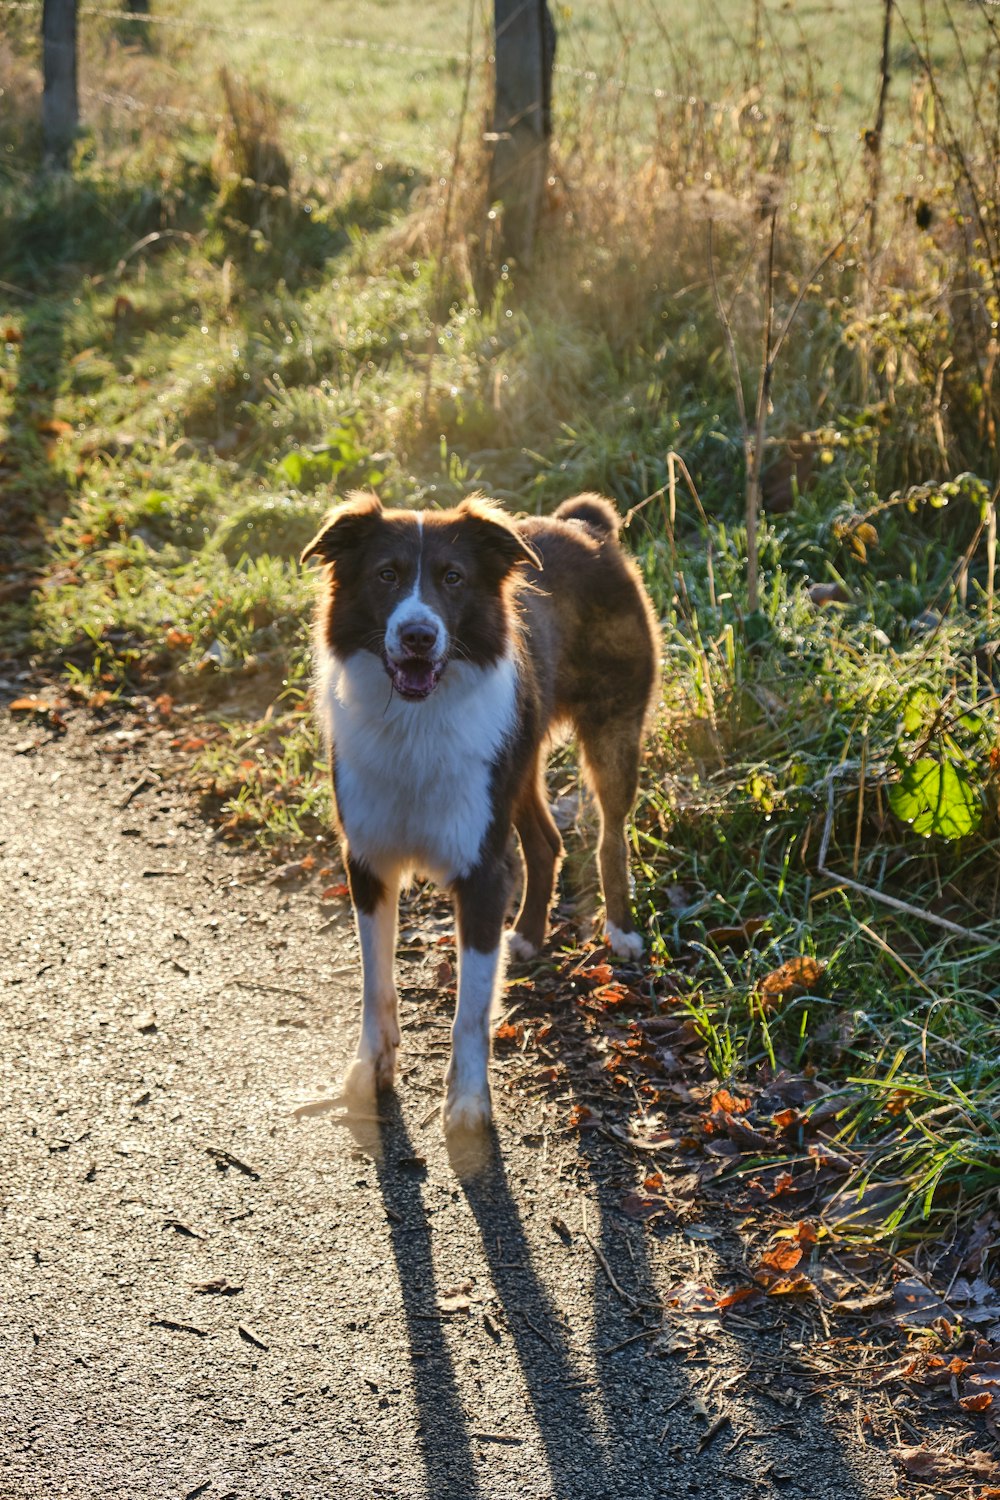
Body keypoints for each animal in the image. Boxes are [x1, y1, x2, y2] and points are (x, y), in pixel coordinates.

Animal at [301, 492, 659, 1134]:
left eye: (453, 578)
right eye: (386, 574)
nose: (419, 635)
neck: (415, 721)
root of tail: (585, 526)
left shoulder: (481, 871)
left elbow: (470, 1009)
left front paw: (467, 1104)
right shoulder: (367, 862)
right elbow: (375, 982)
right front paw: (371, 1070)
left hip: (611, 733)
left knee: (610, 836)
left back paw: (619, 929)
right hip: (516, 762)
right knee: (545, 841)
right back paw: (529, 935)